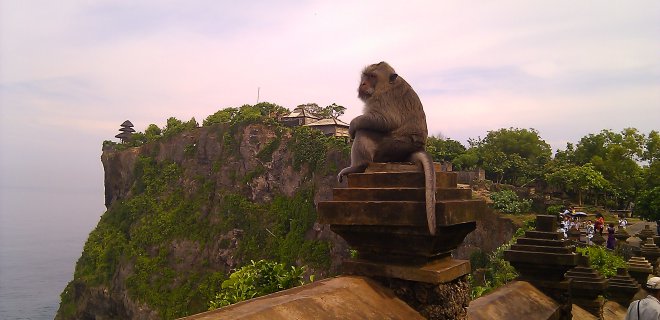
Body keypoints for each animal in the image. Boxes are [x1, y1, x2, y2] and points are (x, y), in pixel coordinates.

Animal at [338, 60, 436, 235]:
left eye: (372, 76)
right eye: (365, 76)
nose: (363, 84)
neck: (387, 85)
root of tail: (414, 149)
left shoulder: (382, 97)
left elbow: (386, 120)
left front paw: (352, 125)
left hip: (392, 147)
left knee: (365, 131)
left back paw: (358, 166)